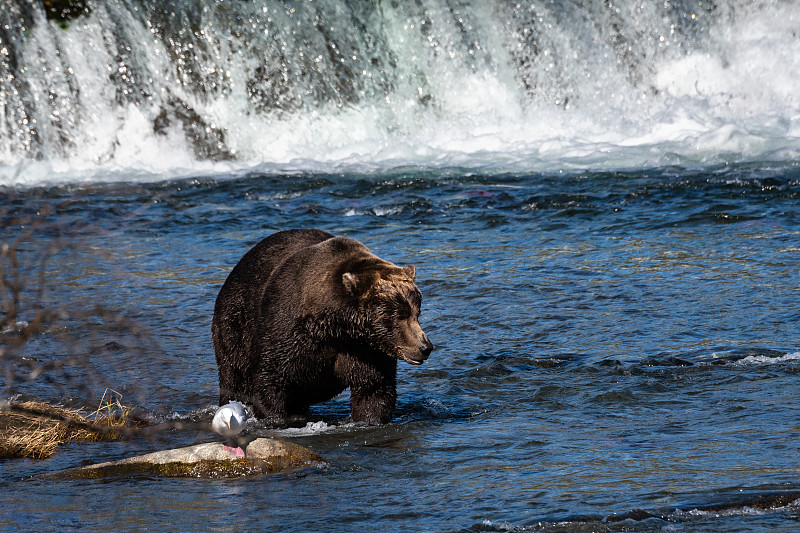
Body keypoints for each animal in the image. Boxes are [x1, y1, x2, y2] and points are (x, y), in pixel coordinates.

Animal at [211, 229, 432, 424]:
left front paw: (371, 418)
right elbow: (272, 380)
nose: (425, 347)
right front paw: (275, 418)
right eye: (397, 316)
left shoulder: (366, 350)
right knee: (234, 378)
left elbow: (373, 390)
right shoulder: (286, 330)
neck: (336, 327)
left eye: (417, 312)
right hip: (234, 326)